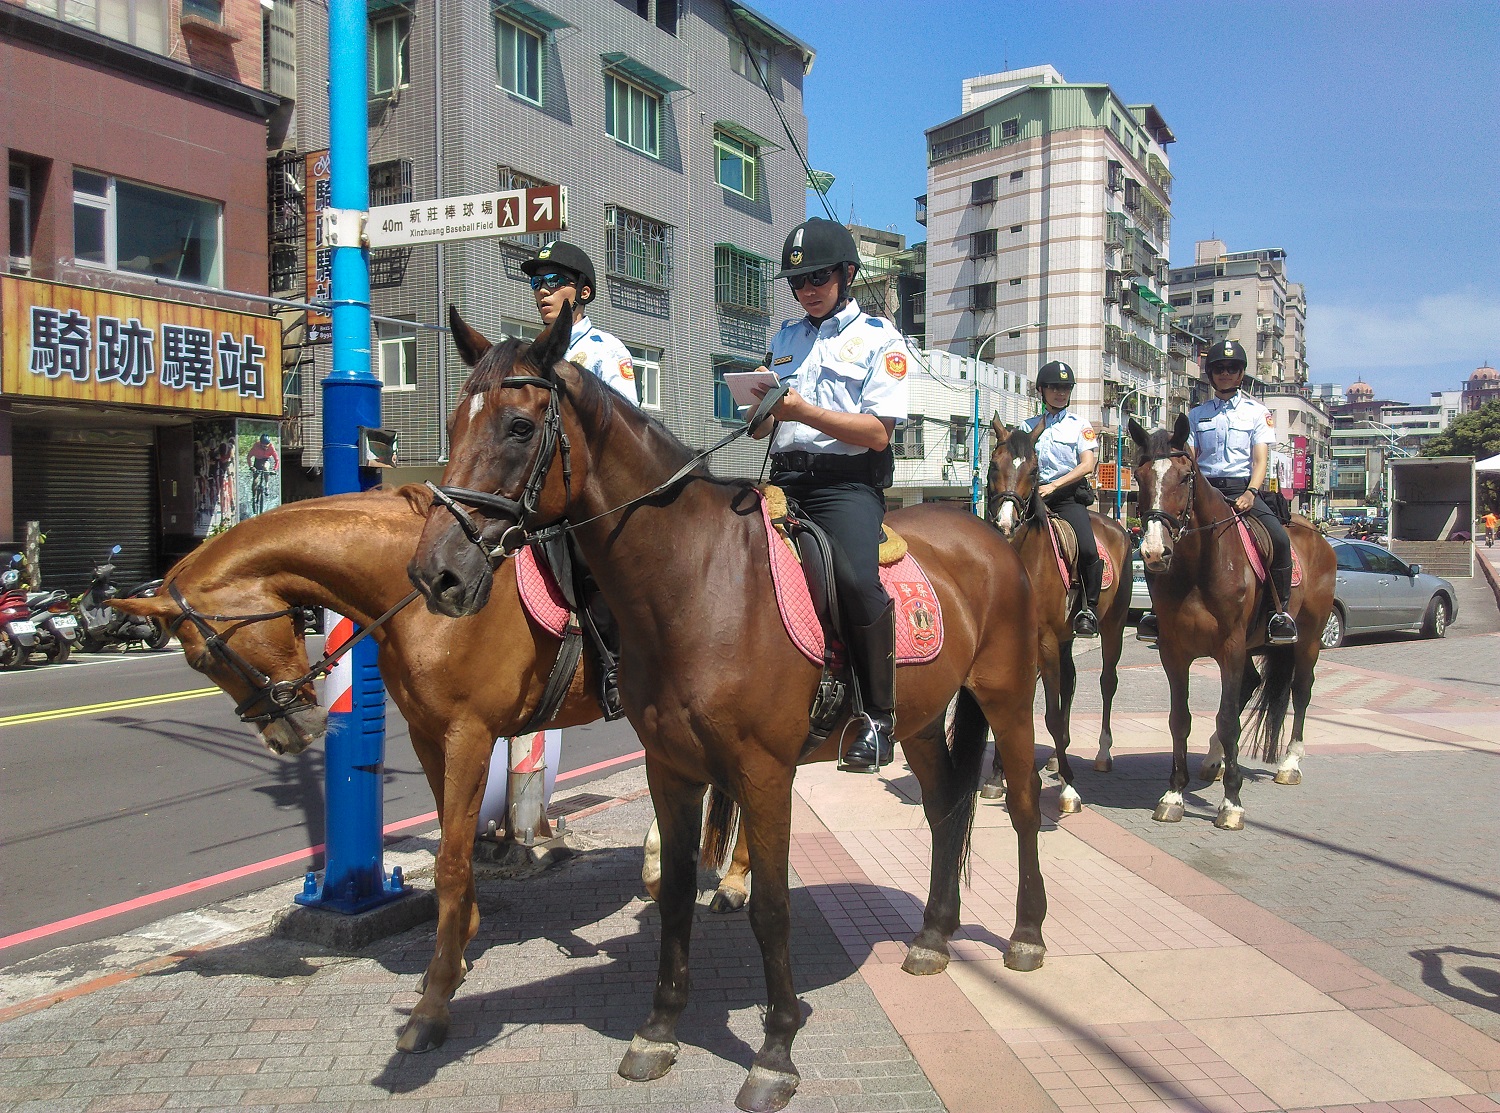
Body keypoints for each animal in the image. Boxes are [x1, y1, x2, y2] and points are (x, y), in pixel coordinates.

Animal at [408, 307, 1044, 1113]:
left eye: (521, 427)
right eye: (452, 424)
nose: (437, 573)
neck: (695, 578)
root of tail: (991, 536)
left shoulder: (764, 771)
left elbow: (770, 904)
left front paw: (775, 1051)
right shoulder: (670, 767)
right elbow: (678, 891)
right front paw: (658, 1030)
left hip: (1009, 696)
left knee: (1021, 805)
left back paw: (1026, 933)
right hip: (923, 722)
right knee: (944, 808)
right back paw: (932, 936)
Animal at [978, 420, 1128, 810]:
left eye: (1034, 471)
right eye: (993, 465)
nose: (1006, 523)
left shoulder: (1043, 642)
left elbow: (1052, 715)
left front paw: (1070, 789)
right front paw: (997, 777)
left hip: (1114, 625)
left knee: (1107, 682)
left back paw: (1100, 755)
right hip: (1065, 639)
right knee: (1071, 682)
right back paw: (1056, 762)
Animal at [1128, 420, 1338, 828]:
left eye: (1185, 477)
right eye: (1139, 475)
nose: (1154, 552)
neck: (1198, 567)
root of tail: (1315, 532)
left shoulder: (1230, 648)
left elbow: (1228, 720)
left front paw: (1231, 803)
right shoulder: (1173, 652)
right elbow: (1180, 720)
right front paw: (1174, 795)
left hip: (1308, 638)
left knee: (1301, 690)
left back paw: (1290, 763)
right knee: (1252, 686)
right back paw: (1216, 760)